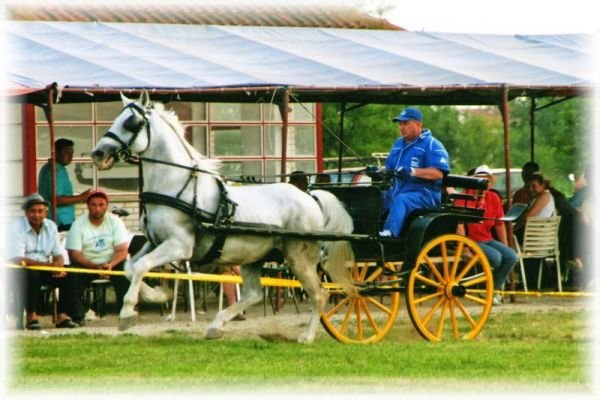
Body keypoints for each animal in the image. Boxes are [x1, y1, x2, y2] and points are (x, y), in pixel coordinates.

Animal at [91, 92, 354, 342]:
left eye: (131, 122)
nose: (98, 153)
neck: (177, 187)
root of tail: (310, 197)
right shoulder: (153, 242)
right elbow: (130, 267)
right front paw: (158, 295)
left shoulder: (179, 246)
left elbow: (141, 266)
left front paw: (127, 314)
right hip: (254, 257)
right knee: (254, 294)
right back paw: (216, 326)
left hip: (299, 256)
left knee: (320, 294)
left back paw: (306, 337)